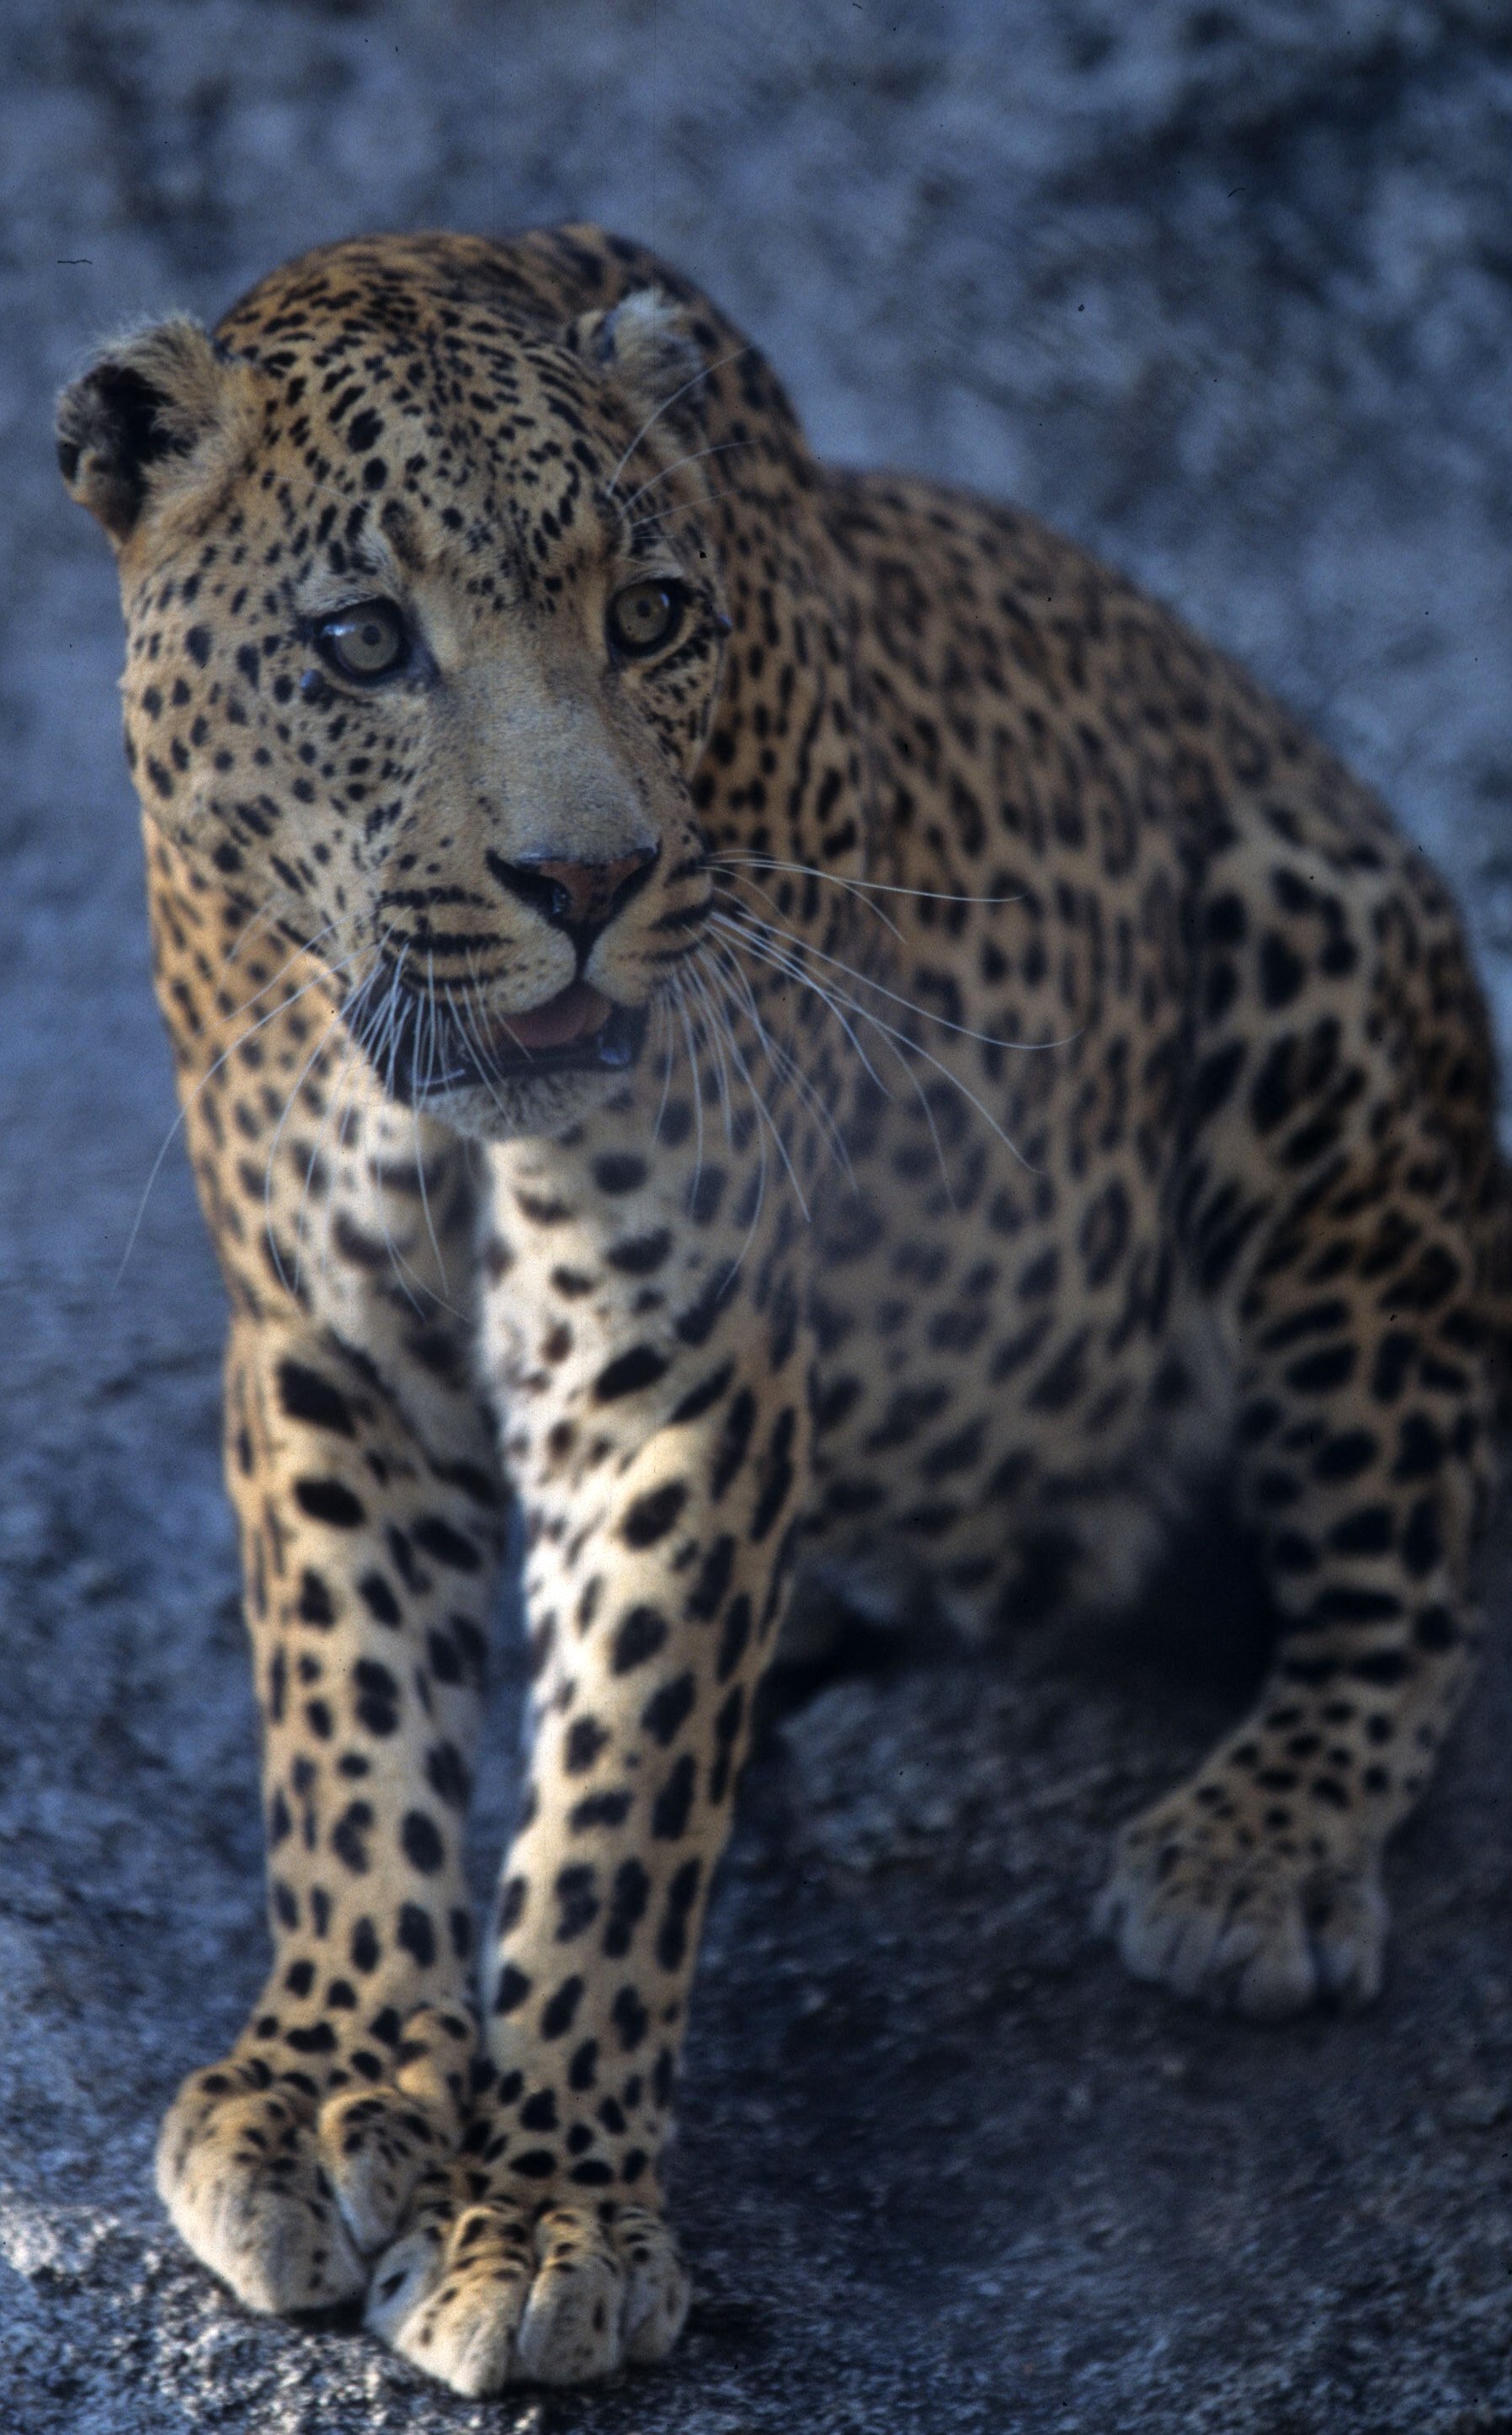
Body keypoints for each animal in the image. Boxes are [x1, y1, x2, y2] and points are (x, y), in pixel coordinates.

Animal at [55, 222, 1510, 2396]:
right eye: (361, 642)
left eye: (650, 615)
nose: (585, 878)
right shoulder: (323, 1337)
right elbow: (346, 1715)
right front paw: (327, 2087)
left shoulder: (680, 1356)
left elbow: (622, 1792)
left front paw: (544, 2220)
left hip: (1312, 983)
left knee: (1407, 1574)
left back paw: (1251, 1850)